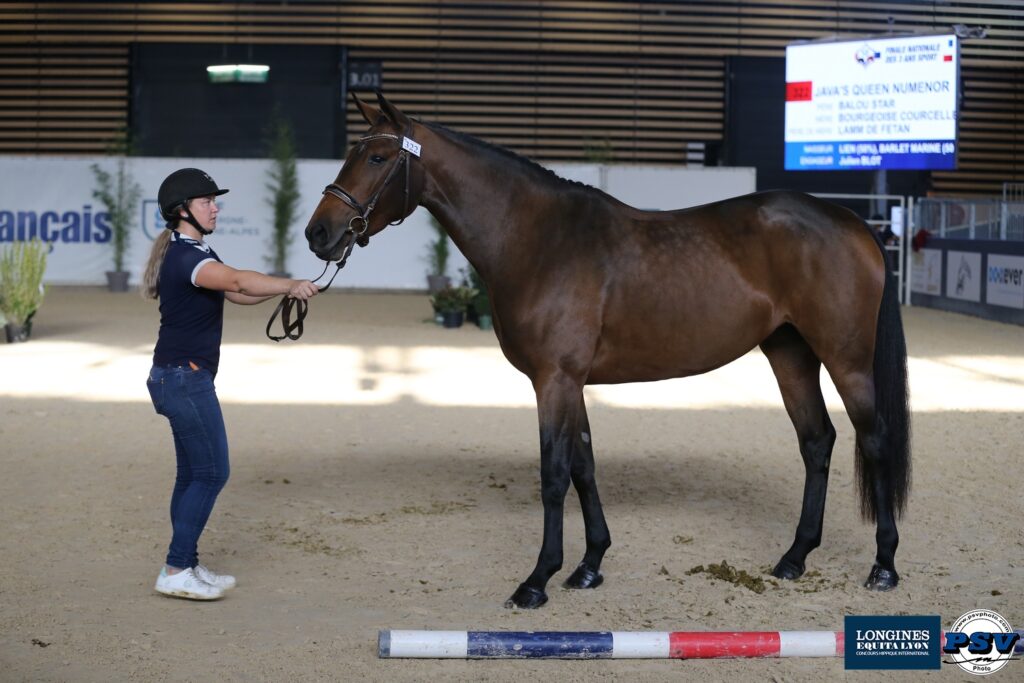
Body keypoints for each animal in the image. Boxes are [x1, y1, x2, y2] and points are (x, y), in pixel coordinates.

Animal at [304, 92, 911, 609]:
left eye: (378, 156)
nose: (319, 233)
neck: (538, 239)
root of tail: (851, 221)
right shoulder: (572, 382)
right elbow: (584, 465)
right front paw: (589, 566)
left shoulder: (553, 379)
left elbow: (553, 474)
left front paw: (537, 581)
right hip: (789, 353)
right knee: (817, 441)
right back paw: (794, 558)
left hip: (845, 359)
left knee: (875, 439)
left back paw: (883, 567)